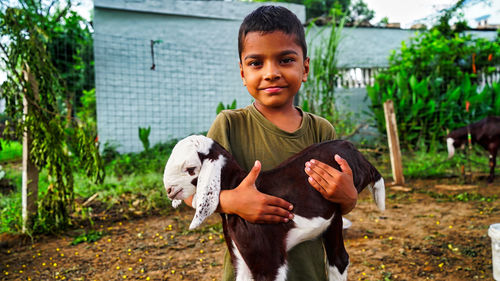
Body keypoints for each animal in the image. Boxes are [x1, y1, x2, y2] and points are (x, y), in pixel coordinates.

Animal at [162, 135, 384, 278]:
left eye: (190, 169)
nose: (169, 190)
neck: (238, 182)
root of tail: (353, 149)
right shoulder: (241, 258)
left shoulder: (268, 259)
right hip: (333, 216)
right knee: (338, 259)